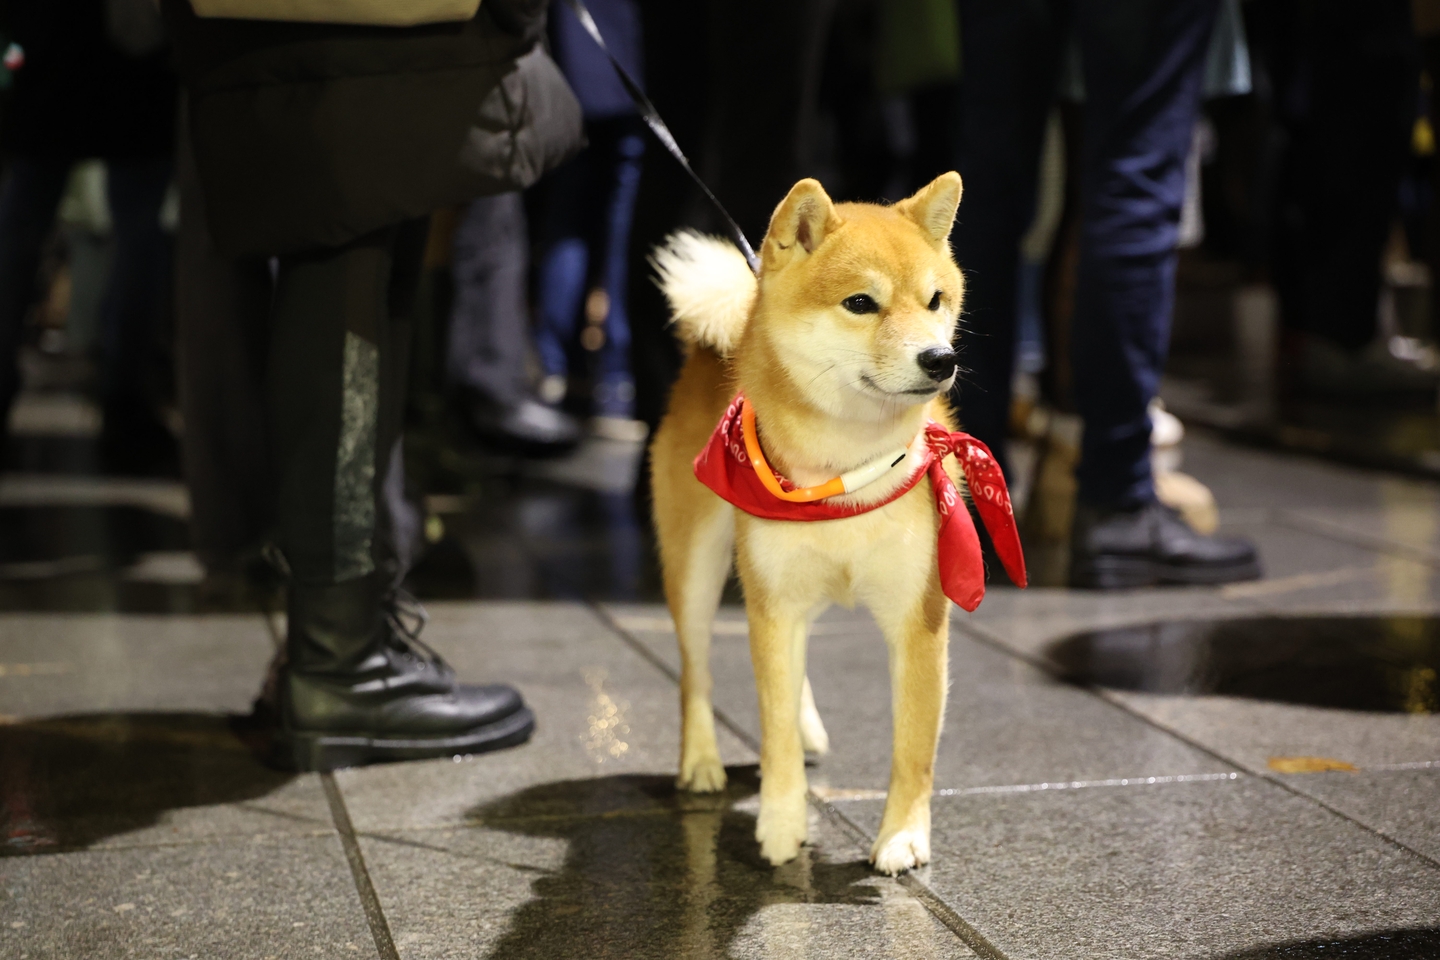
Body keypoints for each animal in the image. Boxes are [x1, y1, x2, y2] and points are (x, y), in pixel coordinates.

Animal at [653, 172, 1025, 880]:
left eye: (936, 300)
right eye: (861, 303)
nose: (940, 358)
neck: (846, 468)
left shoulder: (917, 616)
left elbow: (913, 746)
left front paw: (902, 837)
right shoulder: (776, 600)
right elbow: (769, 727)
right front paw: (780, 823)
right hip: (700, 564)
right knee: (695, 669)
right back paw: (701, 759)